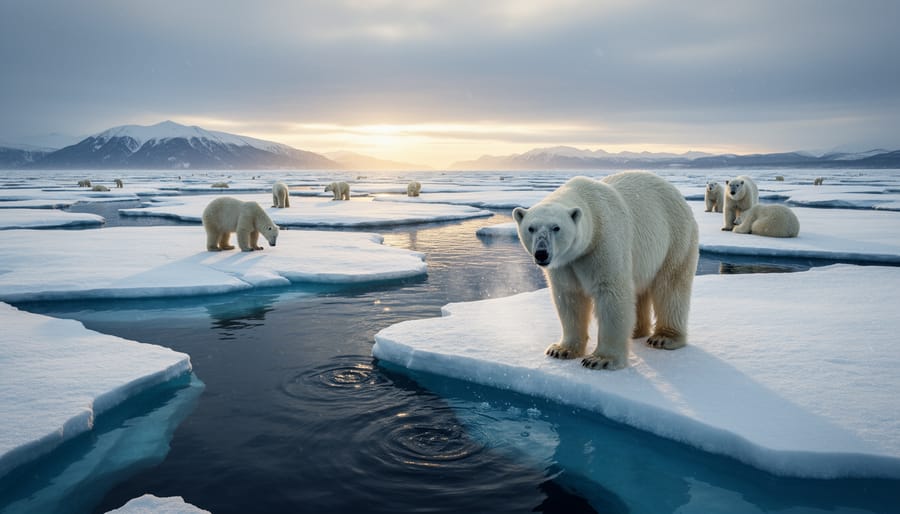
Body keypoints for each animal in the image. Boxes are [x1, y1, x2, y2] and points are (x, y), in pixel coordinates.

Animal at [513, 172, 699, 370]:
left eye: (556, 227)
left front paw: (599, 359)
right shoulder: (566, 263)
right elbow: (569, 297)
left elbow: (611, 294)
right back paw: (636, 331)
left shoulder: (603, 243)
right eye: (531, 228)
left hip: (676, 237)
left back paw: (664, 338)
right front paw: (560, 350)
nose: (541, 253)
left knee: (670, 285)